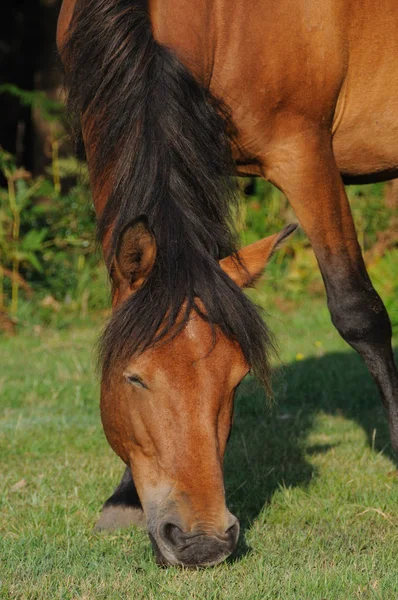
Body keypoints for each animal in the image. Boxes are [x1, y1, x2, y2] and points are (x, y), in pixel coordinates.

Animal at [56, 0, 398, 568]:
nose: (202, 542)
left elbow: (358, 311)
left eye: (238, 380)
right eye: (133, 379)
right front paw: (125, 497)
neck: (223, 17)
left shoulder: (304, 153)